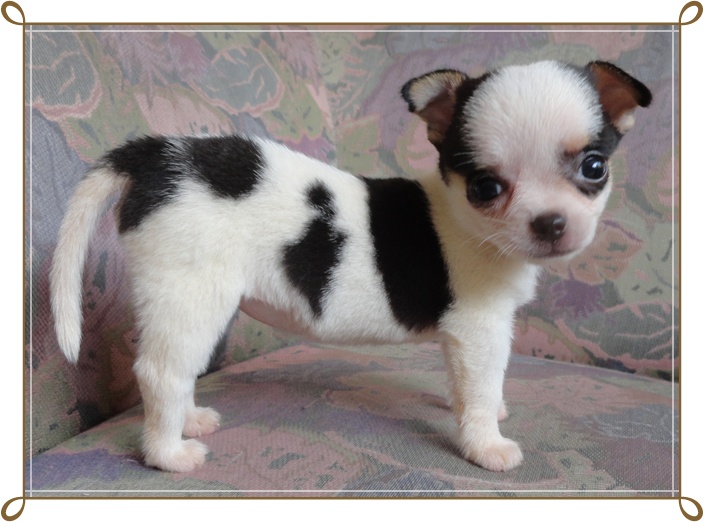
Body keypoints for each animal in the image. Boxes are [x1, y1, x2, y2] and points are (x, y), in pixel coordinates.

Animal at [50, 60, 651, 473]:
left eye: (594, 167)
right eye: (485, 187)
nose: (551, 223)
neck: (465, 221)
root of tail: (155, 155)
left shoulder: (465, 338)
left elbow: (468, 385)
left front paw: (478, 412)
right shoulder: (480, 328)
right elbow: (482, 386)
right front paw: (485, 445)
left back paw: (189, 419)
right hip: (192, 292)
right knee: (161, 371)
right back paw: (169, 453)